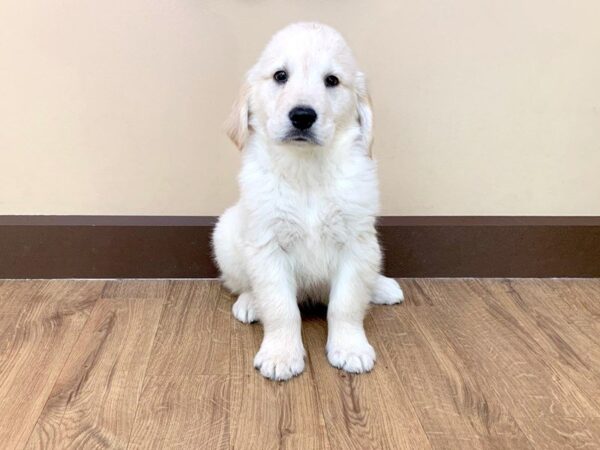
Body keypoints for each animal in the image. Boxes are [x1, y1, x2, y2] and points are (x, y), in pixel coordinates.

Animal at [211, 21, 404, 380]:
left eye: (332, 80)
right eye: (280, 76)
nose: (302, 116)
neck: (306, 169)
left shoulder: (357, 243)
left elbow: (346, 304)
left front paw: (350, 348)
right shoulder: (268, 245)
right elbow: (281, 308)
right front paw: (281, 354)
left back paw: (381, 287)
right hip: (226, 235)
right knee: (242, 283)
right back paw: (249, 302)